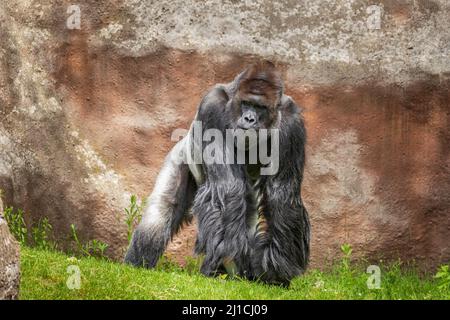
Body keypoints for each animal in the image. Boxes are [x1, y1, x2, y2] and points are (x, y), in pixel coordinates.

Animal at [125, 61, 312, 286]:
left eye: (260, 107)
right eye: (246, 103)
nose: (249, 118)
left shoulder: (292, 124)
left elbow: (282, 194)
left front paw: (275, 269)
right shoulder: (212, 105)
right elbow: (228, 187)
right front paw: (228, 259)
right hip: (182, 153)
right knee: (162, 209)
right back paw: (138, 262)